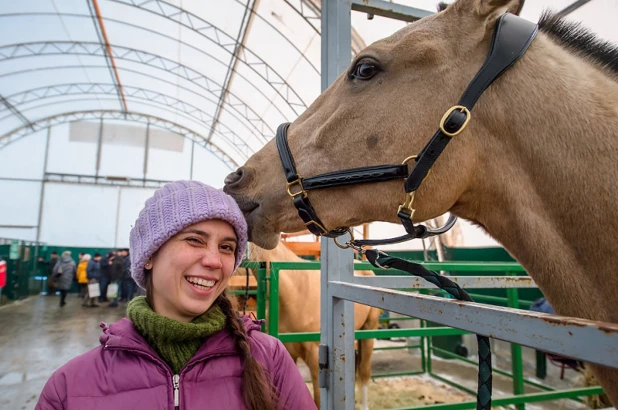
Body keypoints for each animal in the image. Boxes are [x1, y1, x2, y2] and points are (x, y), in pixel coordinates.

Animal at [239, 242, 378, 408]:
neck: (296, 291)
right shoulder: (288, 352)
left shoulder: (315, 357)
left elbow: (318, 399)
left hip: (369, 333)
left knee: (364, 371)